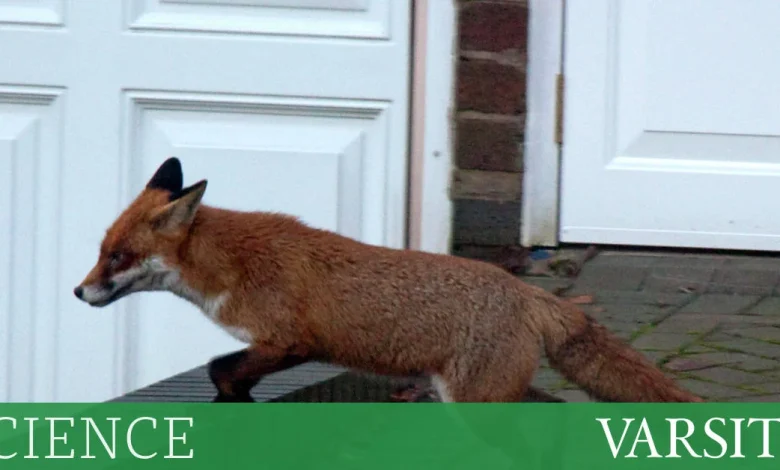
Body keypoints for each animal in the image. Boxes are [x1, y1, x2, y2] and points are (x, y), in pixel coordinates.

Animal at [73, 157, 703, 403]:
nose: (79, 293)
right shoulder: (284, 345)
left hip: (477, 401)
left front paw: (234, 394)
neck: (231, 263)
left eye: (119, 256)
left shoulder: (291, 340)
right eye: (101, 252)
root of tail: (527, 291)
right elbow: (225, 370)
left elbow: (220, 368)